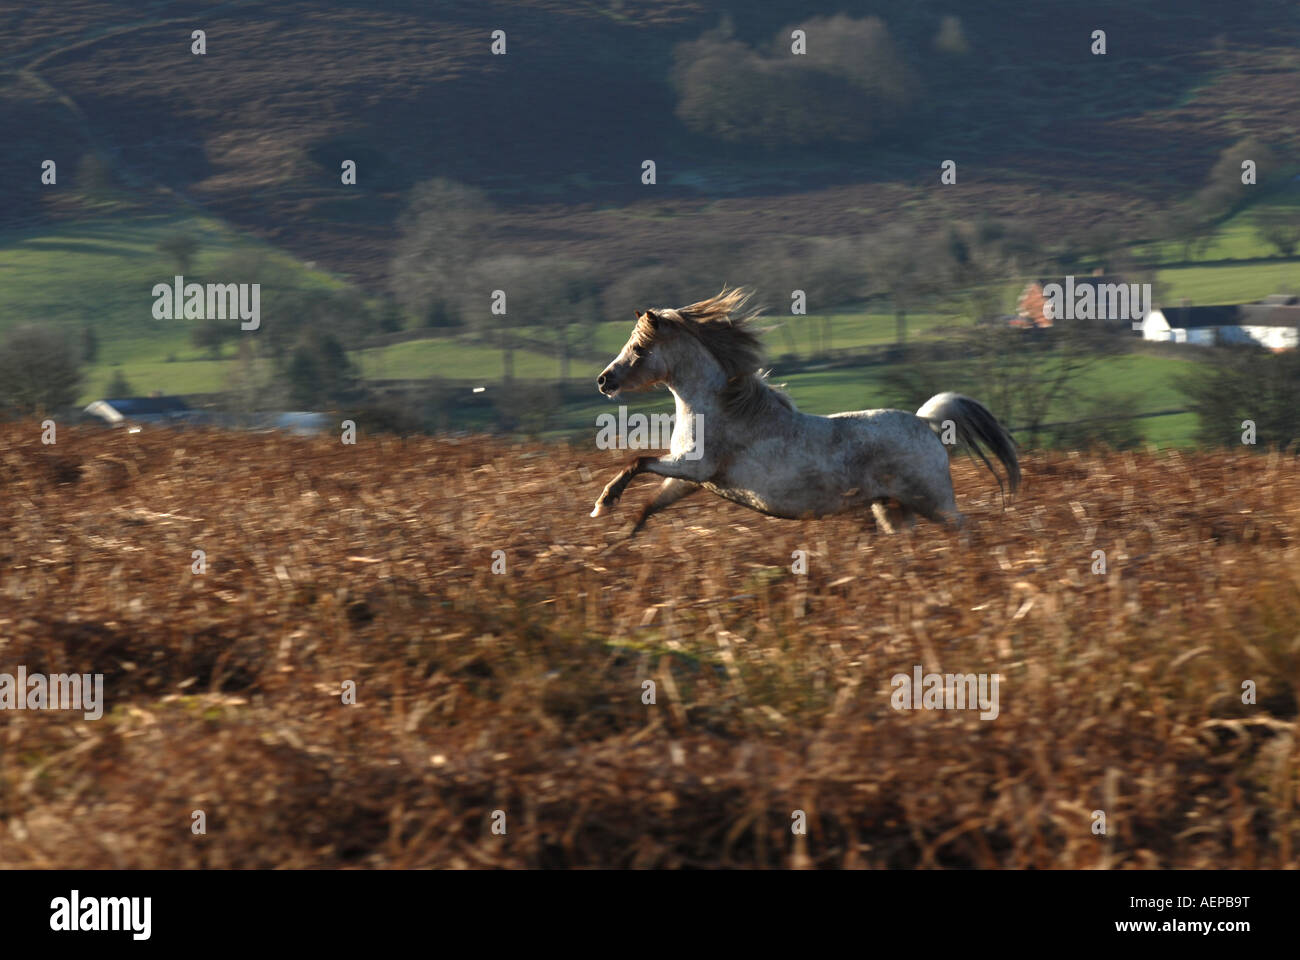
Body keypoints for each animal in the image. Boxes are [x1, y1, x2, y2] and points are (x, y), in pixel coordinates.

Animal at [592, 283, 1024, 538]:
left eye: (639, 348)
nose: (603, 381)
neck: (720, 408)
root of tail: (926, 423)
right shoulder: (690, 479)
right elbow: (649, 504)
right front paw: (621, 538)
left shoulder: (694, 467)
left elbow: (637, 461)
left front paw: (602, 504)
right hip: (892, 510)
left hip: (933, 503)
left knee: (966, 531)